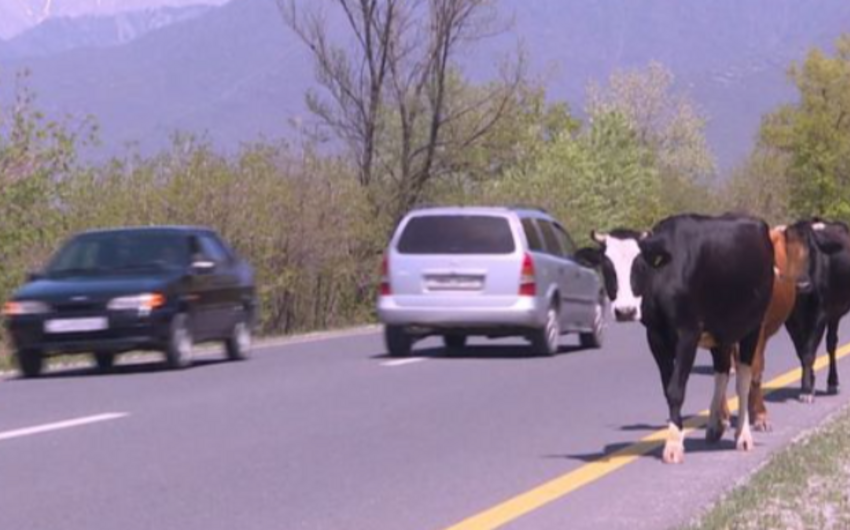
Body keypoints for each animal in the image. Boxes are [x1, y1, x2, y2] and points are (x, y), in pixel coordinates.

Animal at [584, 212, 776, 460]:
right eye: (607, 267)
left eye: (640, 265)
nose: (625, 311)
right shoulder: (655, 337)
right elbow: (668, 388)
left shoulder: (688, 334)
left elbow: (676, 389)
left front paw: (673, 444)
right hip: (720, 330)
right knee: (722, 372)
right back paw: (715, 425)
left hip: (752, 325)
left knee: (743, 379)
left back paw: (743, 436)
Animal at [780, 218, 848, 400]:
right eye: (787, 253)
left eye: (812, 251)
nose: (802, 285)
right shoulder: (790, 321)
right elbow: (801, 350)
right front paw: (809, 382)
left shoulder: (820, 315)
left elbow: (809, 351)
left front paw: (806, 390)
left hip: (834, 313)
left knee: (831, 344)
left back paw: (833, 383)